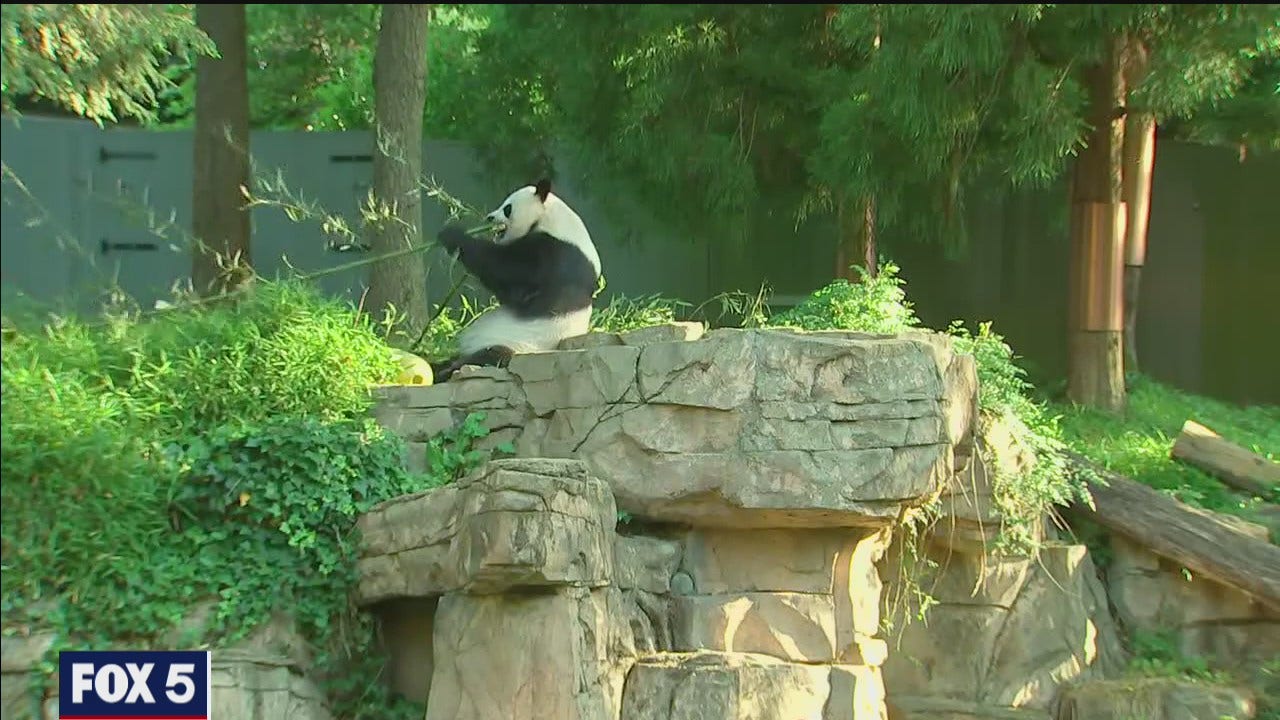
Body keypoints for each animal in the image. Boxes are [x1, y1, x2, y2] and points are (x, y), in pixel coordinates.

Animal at [429, 178, 602, 383]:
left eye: (507, 208)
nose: (489, 218)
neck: (552, 218)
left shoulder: (559, 255)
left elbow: (511, 273)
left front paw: (453, 234)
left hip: (520, 346)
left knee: (492, 355)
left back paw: (446, 372)